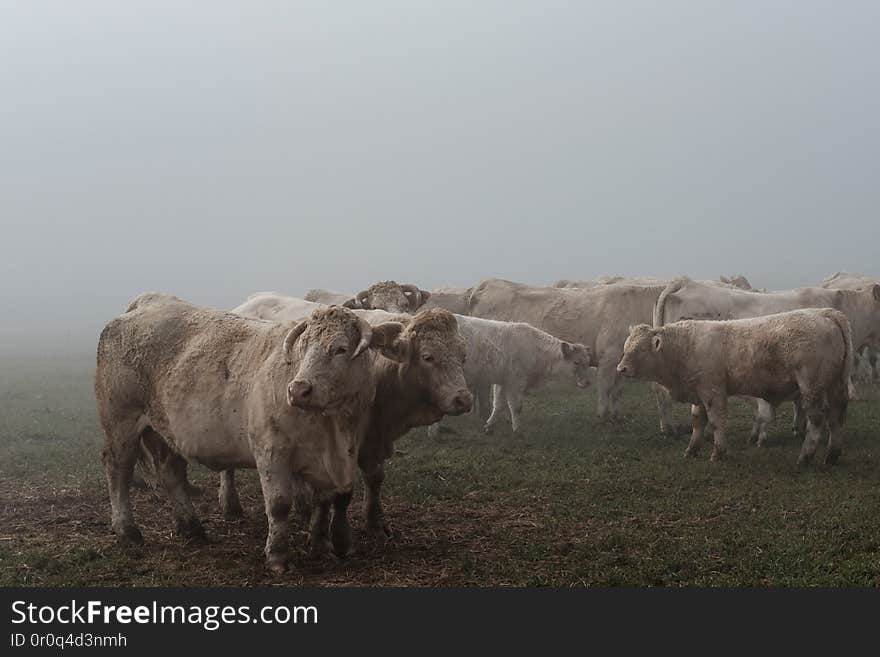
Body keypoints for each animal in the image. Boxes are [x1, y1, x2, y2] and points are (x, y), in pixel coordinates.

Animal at [92, 292, 402, 568]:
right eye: (302, 348)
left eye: (340, 349)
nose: (299, 390)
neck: (333, 429)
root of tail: (145, 304)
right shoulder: (270, 450)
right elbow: (279, 504)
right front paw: (277, 555)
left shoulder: (343, 453)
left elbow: (329, 499)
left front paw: (324, 544)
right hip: (121, 423)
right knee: (118, 470)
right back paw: (128, 531)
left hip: (164, 431)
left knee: (171, 472)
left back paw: (192, 528)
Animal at [620, 308, 852, 466]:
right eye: (625, 347)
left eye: (641, 349)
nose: (620, 368)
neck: (686, 346)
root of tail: (825, 313)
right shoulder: (699, 392)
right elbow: (697, 422)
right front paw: (691, 450)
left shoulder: (713, 391)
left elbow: (715, 421)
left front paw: (718, 452)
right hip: (835, 386)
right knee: (836, 417)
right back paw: (832, 455)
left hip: (811, 386)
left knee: (817, 419)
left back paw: (805, 456)